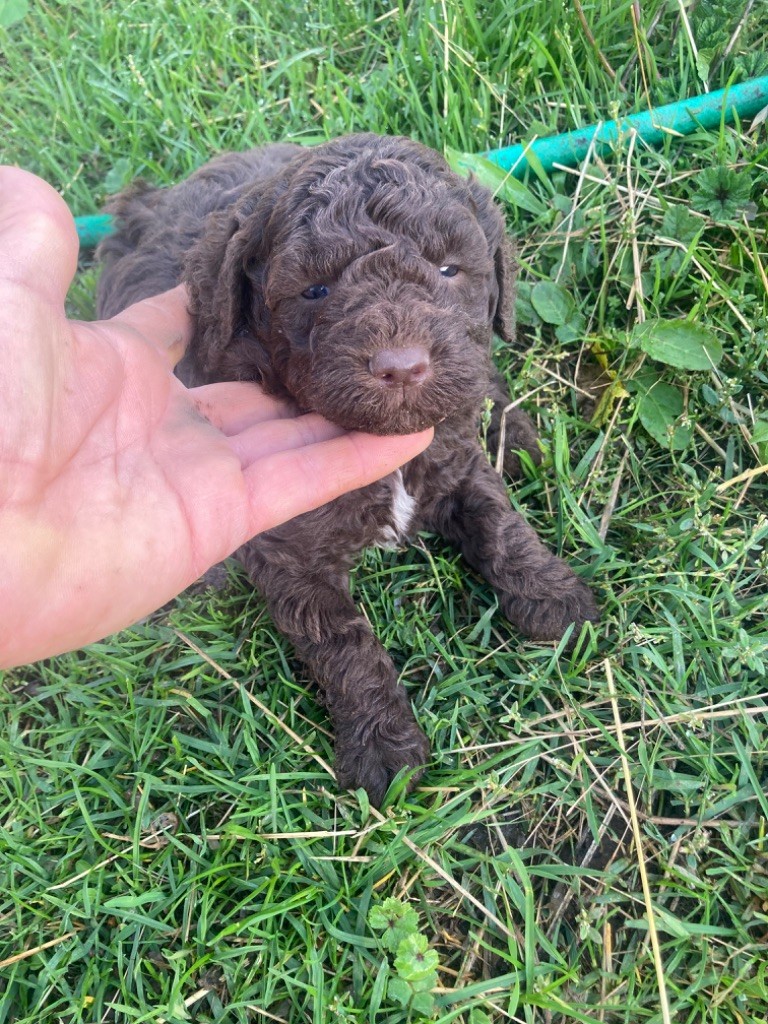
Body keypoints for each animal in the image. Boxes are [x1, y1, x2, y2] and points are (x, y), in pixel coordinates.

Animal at [97, 136, 602, 802]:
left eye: (449, 270)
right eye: (315, 290)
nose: (402, 366)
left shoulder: (453, 459)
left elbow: (500, 525)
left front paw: (554, 599)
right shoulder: (285, 548)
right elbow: (341, 640)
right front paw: (381, 747)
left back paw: (513, 434)